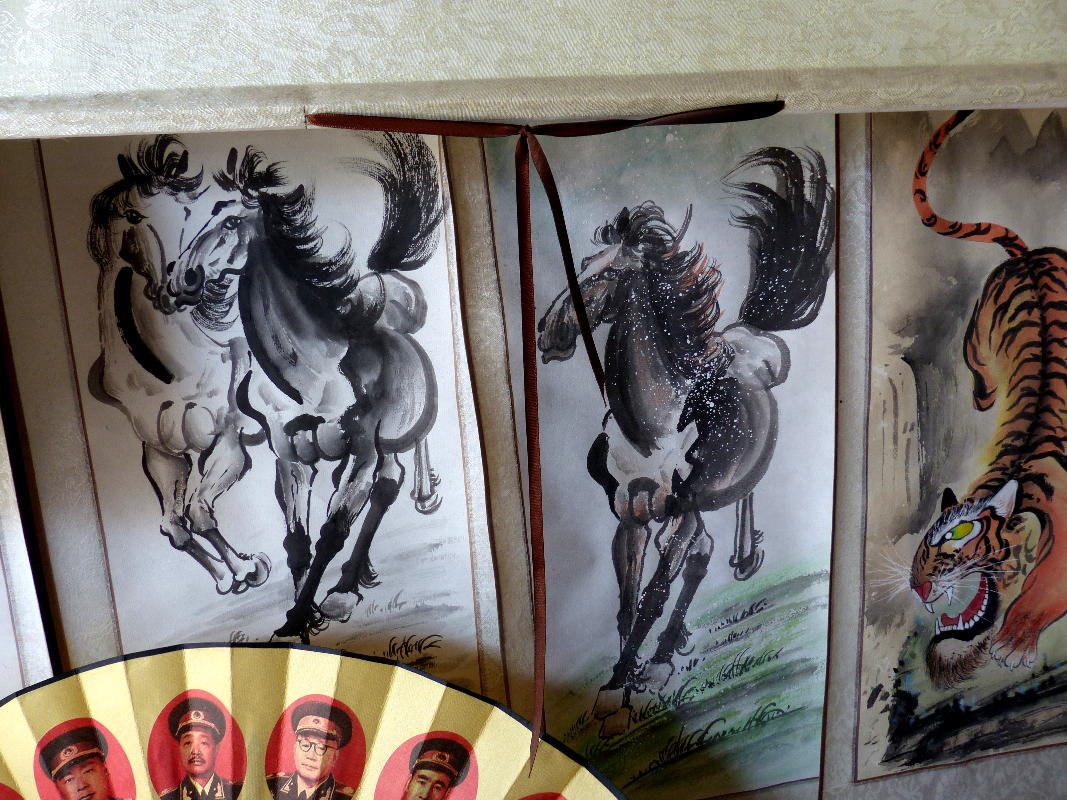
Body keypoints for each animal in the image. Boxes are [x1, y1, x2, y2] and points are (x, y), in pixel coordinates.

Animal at [88, 135, 271, 595]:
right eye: (134, 215)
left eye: (186, 213)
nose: (184, 282)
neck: (169, 372)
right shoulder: (163, 454)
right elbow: (175, 525)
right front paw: (227, 576)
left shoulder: (227, 443)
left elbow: (200, 511)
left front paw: (247, 570)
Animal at [537, 147, 835, 736]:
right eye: (582, 266)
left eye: (607, 276)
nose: (549, 333)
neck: (656, 423)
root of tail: (752, 338)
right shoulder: (629, 512)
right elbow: (627, 601)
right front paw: (621, 679)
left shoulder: (681, 507)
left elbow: (654, 595)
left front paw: (622, 687)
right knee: (702, 554)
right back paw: (662, 655)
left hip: (702, 504)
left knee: (699, 558)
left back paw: (663, 656)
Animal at [908, 110, 1067, 688]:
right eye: (919, 554)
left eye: (958, 542)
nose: (917, 588)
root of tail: (1028, 255)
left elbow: (1045, 586)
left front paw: (1014, 644)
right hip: (978, 334)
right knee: (979, 368)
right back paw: (982, 400)